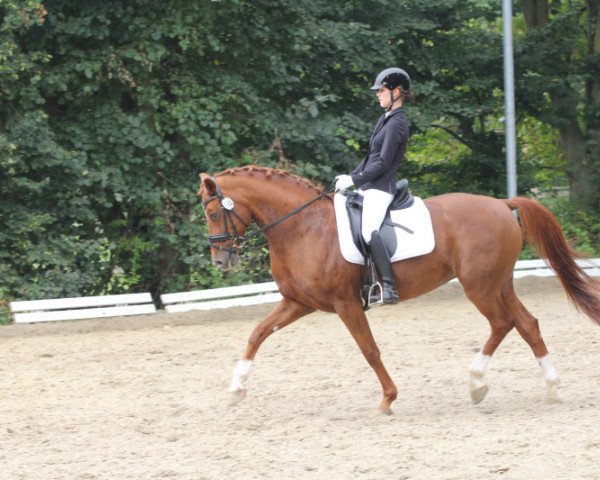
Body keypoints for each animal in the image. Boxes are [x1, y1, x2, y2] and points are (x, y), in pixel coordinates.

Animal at [198, 165, 600, 412]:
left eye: (214, 213)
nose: (221, 262)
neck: (302, 227)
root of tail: (502, 205)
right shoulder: (298, 302)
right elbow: (257, 333)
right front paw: (236, 389)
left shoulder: (346, 304)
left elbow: (370, 350)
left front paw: (388, 399)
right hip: (497, 283)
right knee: (526, 323)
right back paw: (546, 387)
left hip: (480, 287)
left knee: (504, 323)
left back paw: (478, 384)